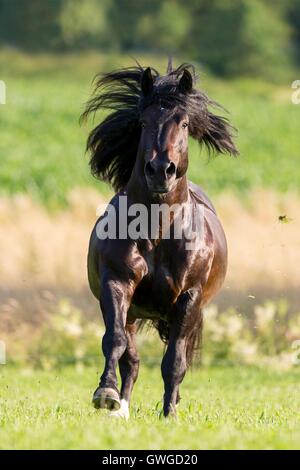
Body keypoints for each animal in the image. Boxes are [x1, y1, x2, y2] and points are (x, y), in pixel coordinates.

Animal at [83, 61, 238, 418]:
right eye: (143, 121)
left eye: (184, 122)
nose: (159, 170)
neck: (156, 230)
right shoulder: (117, 283)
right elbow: (114, 342)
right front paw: (105, 393)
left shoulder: (189, 298)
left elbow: (174, 362)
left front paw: (169, 413)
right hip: (133, 311)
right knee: (131, 359)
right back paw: (121, 408)